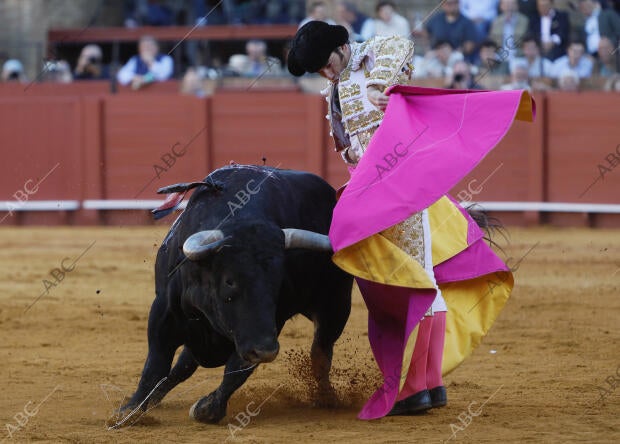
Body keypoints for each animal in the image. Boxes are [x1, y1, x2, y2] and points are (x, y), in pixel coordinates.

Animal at [110, 165, 354, 424]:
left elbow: (236, 370)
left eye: (277, 282)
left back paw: (327, 398)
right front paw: (129, 410)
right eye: (230, 281)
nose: (267, 351)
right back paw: (155, 397)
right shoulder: (163, 312)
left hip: (336, 305)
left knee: (320, 351)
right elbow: (156, 363)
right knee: (182, 366)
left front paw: (207, 407)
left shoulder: (264, 329)